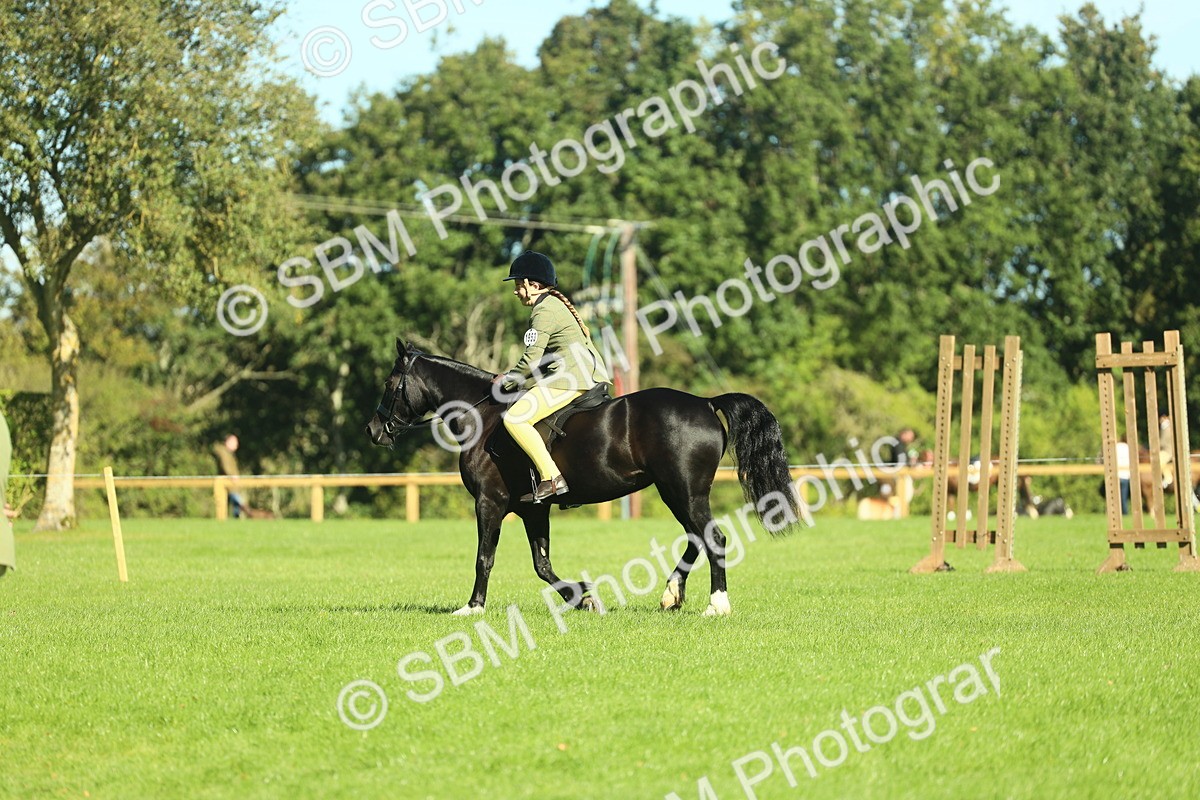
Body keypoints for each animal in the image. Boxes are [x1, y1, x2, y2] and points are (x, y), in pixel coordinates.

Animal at [366, 340, 807, 617]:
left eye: (389, 384)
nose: (373, 431)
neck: (484, 415)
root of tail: (704, 401)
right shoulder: (533, 510)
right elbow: (542, 564)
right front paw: (583, 599)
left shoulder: (489, 502)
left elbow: (484, 558)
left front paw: (472, 607)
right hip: (679, 492)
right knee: (696, 538)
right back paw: (671, 595)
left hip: (682, 491)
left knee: (712, 538)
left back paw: (716, 605)